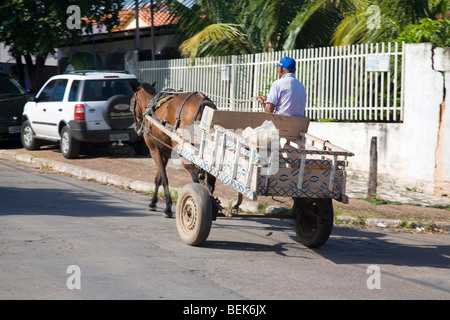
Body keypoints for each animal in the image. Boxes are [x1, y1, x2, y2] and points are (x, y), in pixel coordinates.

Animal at [129, 82, 217, 218]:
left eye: (132, 101)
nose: (137, 127)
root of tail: (204, 102)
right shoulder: (164, 151)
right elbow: (158, 178)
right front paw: (153, 203)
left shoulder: (154, 150)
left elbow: (164, 178)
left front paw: (168, 208)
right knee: (210, 181)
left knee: (195, 175)